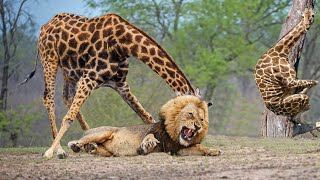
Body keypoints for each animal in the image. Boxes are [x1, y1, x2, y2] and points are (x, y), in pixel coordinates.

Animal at [20, 13, 195, 159]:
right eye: (191, 112)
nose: (193, 132)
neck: (124, 43)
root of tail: (44, 27)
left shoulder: (121, 85)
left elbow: (146, 117)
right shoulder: (89, 76)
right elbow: (68, 118)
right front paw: (50, 152)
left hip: (69, 71)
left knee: (66, 97)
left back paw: (86, 142)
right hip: (49, 58)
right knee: (49, 98)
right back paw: (60, 150)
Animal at [67, 94, 220, 156]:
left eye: (202, 119)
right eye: (190, 114)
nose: (198, 126)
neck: (174, 136)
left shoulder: (177, 149)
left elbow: (200, 147)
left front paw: (213, 151)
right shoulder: (153, 133)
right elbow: (150, 135)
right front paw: (148, 144)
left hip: (109, 152)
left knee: (97, 149)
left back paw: (91, 148)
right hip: (102, 132)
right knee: (81, 140)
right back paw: (76, 145)